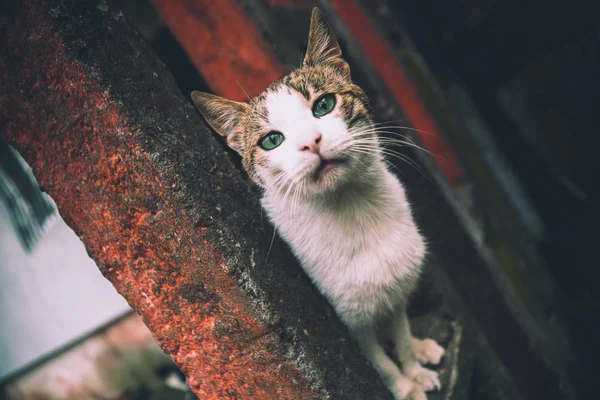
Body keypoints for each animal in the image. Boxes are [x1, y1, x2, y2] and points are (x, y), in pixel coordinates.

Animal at [192, 7, 446, 400]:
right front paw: (406, 387)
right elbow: (381, 362)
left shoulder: (396, 293)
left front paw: (414, 367)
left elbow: (401, 336)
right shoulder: (349, 323)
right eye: (271, 140)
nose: (310, 142)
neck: (355, 209)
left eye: (324, 105)